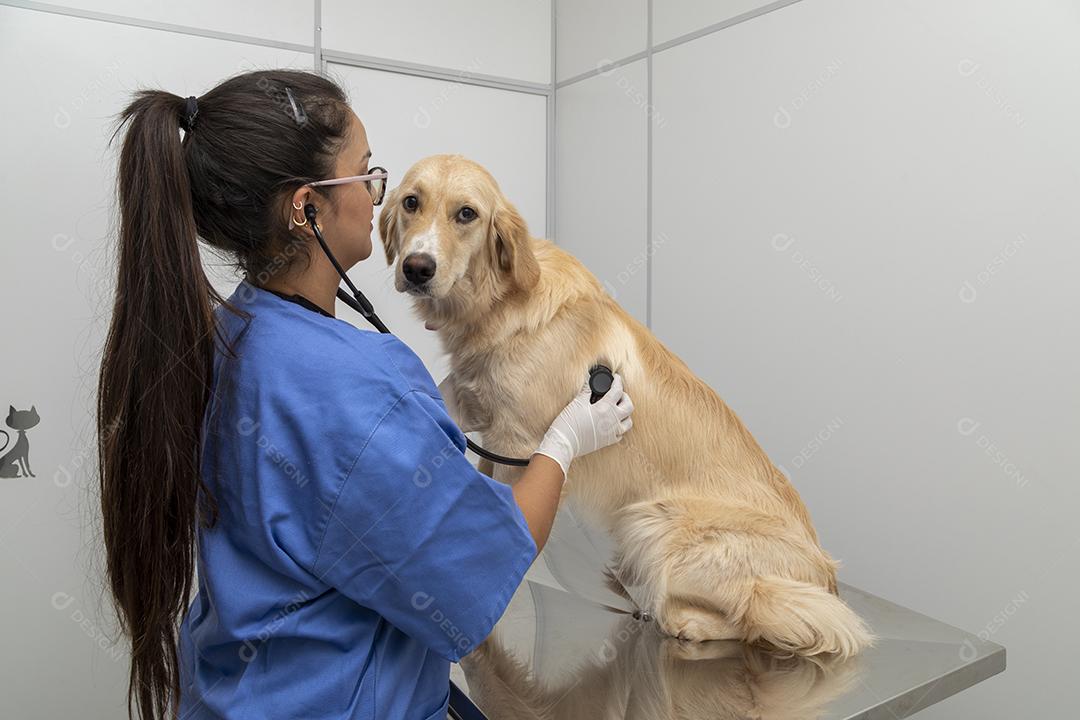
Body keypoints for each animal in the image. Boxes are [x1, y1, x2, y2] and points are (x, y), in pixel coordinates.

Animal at [375, 155, 872, 660]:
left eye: (467, 214)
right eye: (412, 202)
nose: (417, 268)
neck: (498, 305)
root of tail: (826, 575)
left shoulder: (518, 444)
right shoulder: (485, 425)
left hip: (652, 521)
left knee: (785, 616)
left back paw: (685, 619)